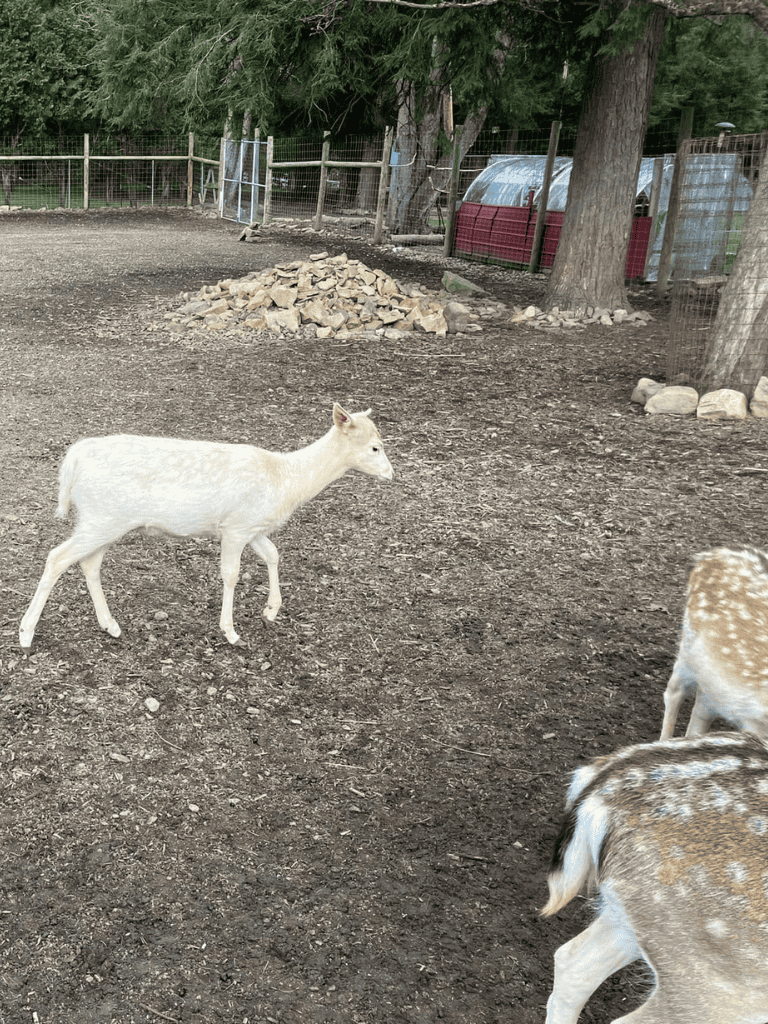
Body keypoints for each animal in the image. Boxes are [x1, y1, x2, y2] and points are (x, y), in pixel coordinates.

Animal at [19, 403, 393, 649]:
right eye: (375, 446)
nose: (391, 474)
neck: (286, 480)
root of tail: (72, 461)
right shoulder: (236, 527)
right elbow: (231, 574)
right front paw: (231, 631)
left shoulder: (252, 526)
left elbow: (273, 555)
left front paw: (271, 611)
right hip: (102, 517)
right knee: (57, 557)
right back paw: (26, 633)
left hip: (104, 520)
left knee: (88, 563)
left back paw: (110, 626)